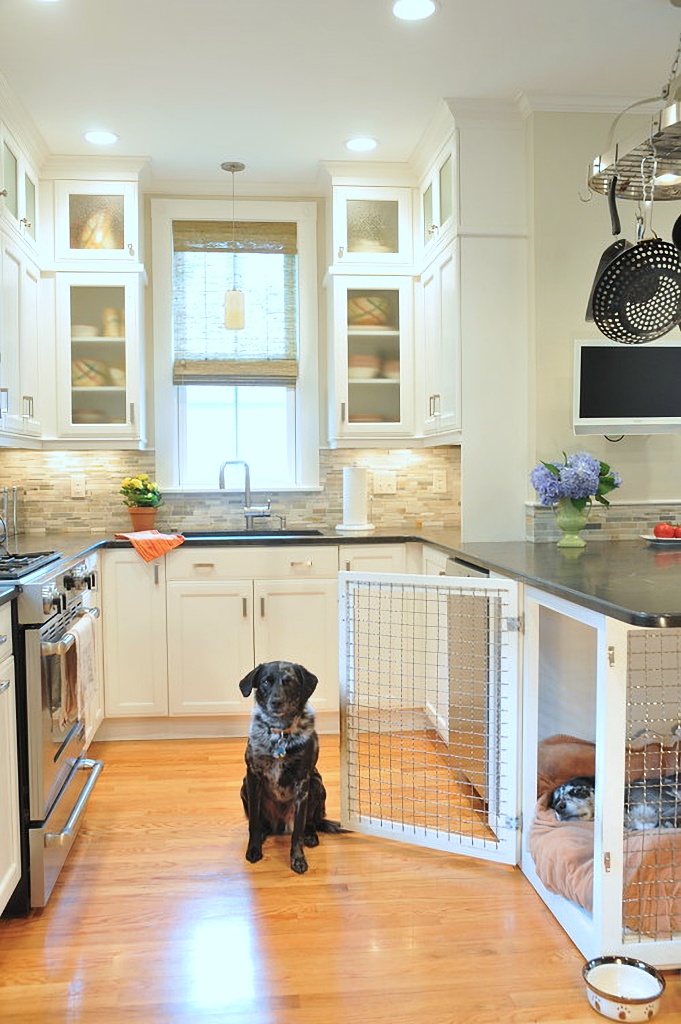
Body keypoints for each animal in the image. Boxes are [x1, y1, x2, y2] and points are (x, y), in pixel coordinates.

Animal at [238, 663, 342, 872]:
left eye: (289, 681)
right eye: (266, 681)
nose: (276, 702)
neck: (279, 733)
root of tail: (281, 826)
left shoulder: (302, 783)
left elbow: (298, 833)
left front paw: (298, 859)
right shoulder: (252, 776)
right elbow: (253, 822)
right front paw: (254, 849)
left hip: (316, 784)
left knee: (309, 823)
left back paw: (310, 835)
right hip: (244, 787)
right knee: (261, 824)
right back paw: (263, 834)